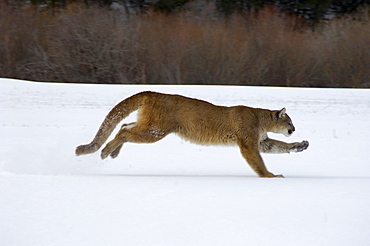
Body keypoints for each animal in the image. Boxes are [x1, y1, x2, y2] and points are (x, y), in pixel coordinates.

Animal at [76, 91, 310, 178]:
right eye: (290, 122)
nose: (293, 130)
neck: (260, 119)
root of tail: (153, 92)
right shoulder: (249, 143)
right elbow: (258, 161)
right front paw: (270, 176)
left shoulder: (262, 142)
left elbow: (280, 146)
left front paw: (300, 145)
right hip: (155, 131)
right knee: (125, 131)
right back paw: (106, 151)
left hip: (150, 126)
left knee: (124, 125)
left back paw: (112, 152)